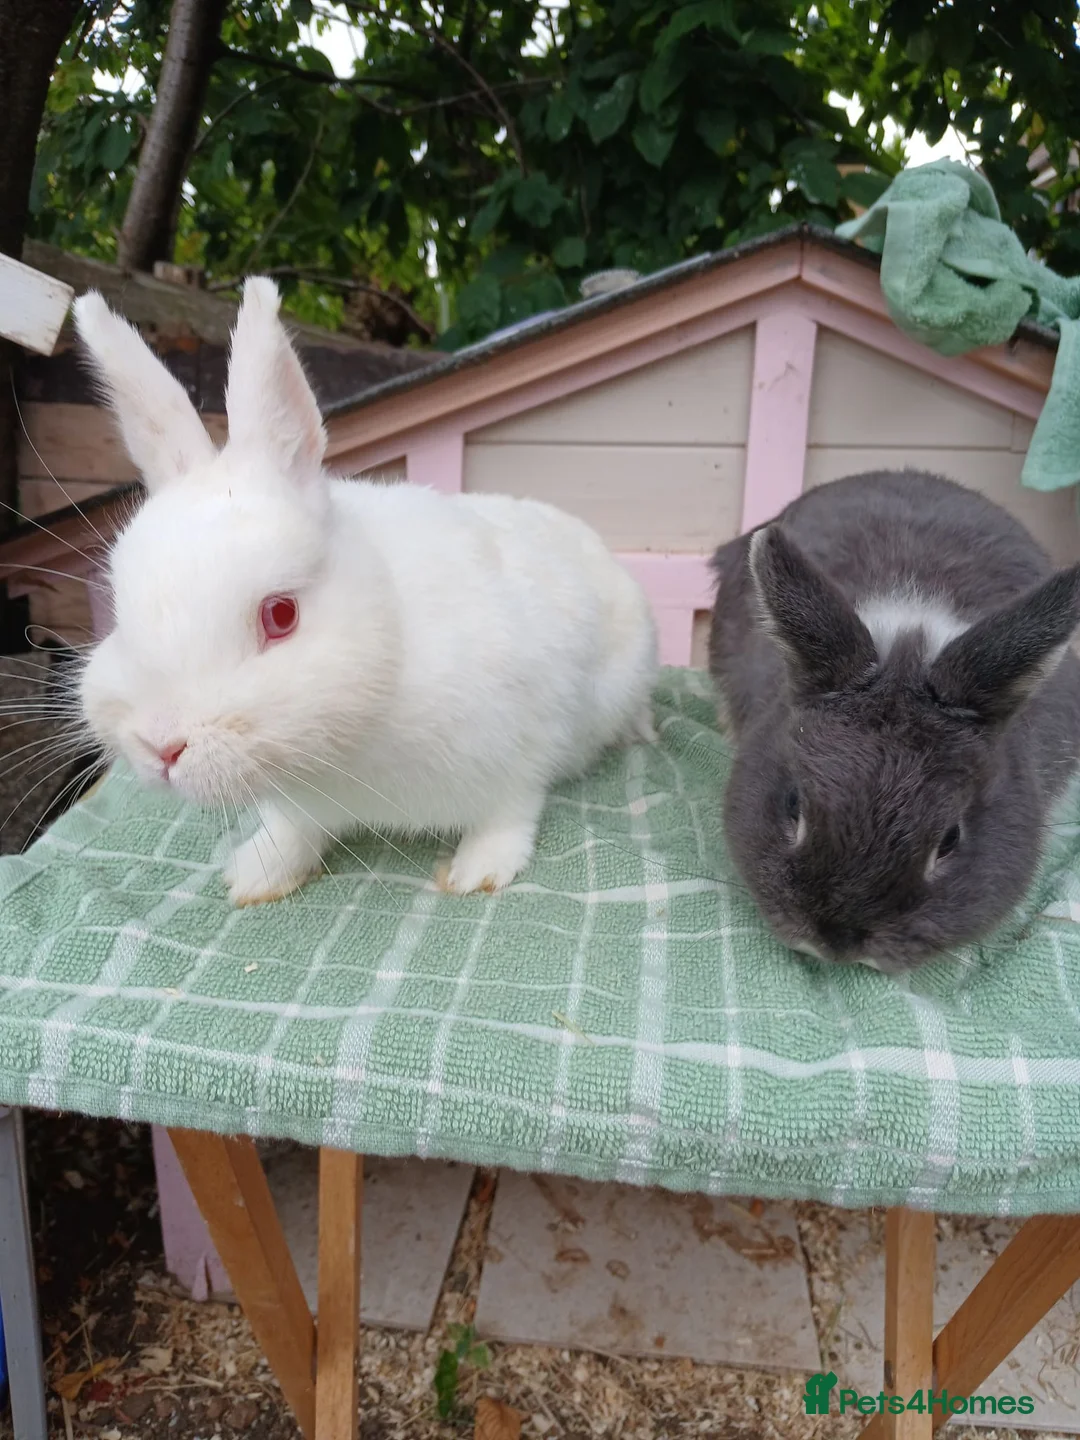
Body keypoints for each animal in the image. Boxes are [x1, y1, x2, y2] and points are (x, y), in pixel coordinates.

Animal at [72, 278, 658, 906]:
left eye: (281, 615)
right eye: (120, 614)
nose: (161, 746)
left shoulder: (524, 745)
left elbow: (509, 812)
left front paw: (478, 872)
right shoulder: (300, 806)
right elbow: (291, 833)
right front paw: (257, 875)